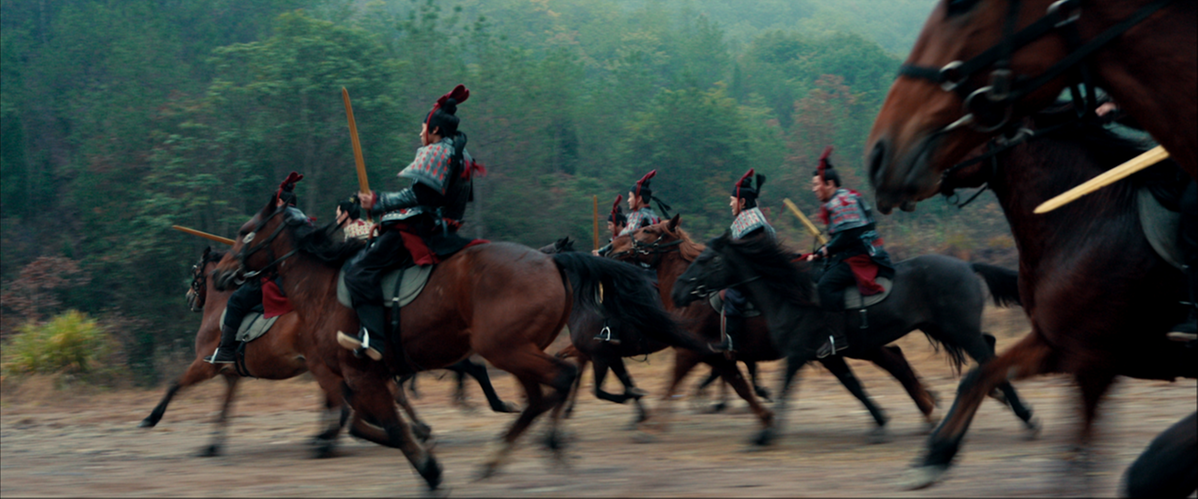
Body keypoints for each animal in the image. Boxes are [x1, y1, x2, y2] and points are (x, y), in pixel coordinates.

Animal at [210, 193, 683, 487]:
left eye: (246, 230)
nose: (220, 275)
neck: (324, 287)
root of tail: (553, 263)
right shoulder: (359, 378)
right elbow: (365, 424)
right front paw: (422, 444)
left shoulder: (359, 373)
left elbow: (382, 425)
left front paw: (428, 465)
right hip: (515, 351)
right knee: (539, 394)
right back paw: (502, 455)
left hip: (506, 349)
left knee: (561, 378)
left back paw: (540, 444)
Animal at [610, 218, 968, 444]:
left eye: (646, 230)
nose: (609, 249)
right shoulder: (716, 355)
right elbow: (739, 385)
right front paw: (764, 418)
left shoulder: (691, 351)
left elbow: (675, 384)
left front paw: (650, 426)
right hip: (861, 345)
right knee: (895, 360)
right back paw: (927, 407)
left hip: (859, 345)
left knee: (895, 362)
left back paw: (927, 409)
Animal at [669, 231, 1036, 447]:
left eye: (706, 259)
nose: (679, 291)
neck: (789, 294)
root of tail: (967, 266)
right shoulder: (829, 355)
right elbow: (854, 386)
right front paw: (880, 422)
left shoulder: (799, 353)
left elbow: (784, 389)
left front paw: (766, 433)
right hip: (944, 329)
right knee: (986, 348)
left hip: (958, 329)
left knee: (985, 356)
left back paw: (1024, 416)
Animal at [903, 109, 1196, 490]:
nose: (902, 178)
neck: (1088, 220)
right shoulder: (1056, 346)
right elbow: (980, 376)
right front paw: (935, 456)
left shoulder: (1094, 363)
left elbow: (1076, 456)